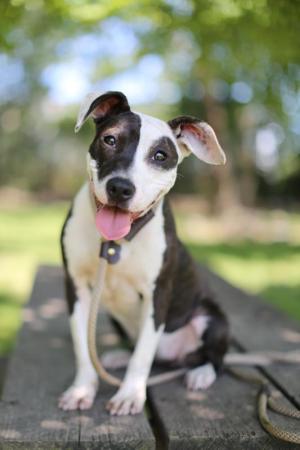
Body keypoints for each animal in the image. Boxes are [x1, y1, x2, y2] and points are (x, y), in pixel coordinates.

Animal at [58, 90, 229, 414]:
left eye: (160, 156)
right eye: (110, 139)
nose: (120, 188)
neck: (116, 243)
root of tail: (173, 358)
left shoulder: (157, 295)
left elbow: (142, 356)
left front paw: (129, 395)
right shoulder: (76, 288)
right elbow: (82, 346)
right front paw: (82, 389)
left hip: (212, 319)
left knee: (213, 357)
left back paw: (200, 373)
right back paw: (119, 356)